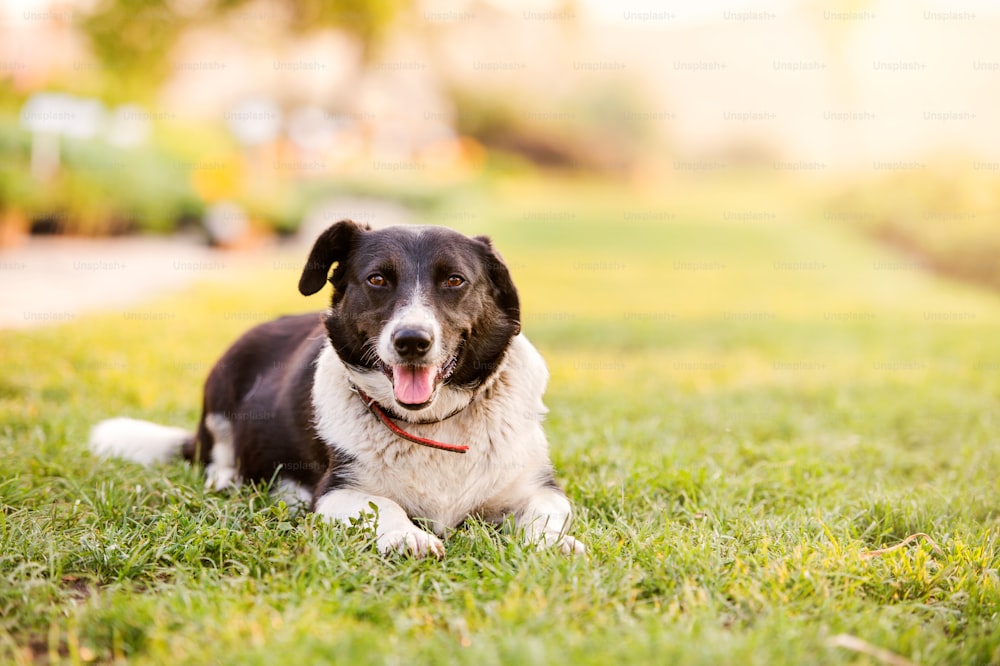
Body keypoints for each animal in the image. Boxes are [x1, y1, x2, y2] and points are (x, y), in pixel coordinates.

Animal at [92, 219, 584, 556]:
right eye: (378, 279)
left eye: (454, 280)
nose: (411, 341)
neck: (433, 424)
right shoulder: (337, 492)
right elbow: (385, 507)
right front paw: (408, 537)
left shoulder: (539, 488)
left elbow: (546, 514)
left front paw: (554, 545)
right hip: (223, 381)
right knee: (220, 449)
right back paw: (228, 478)